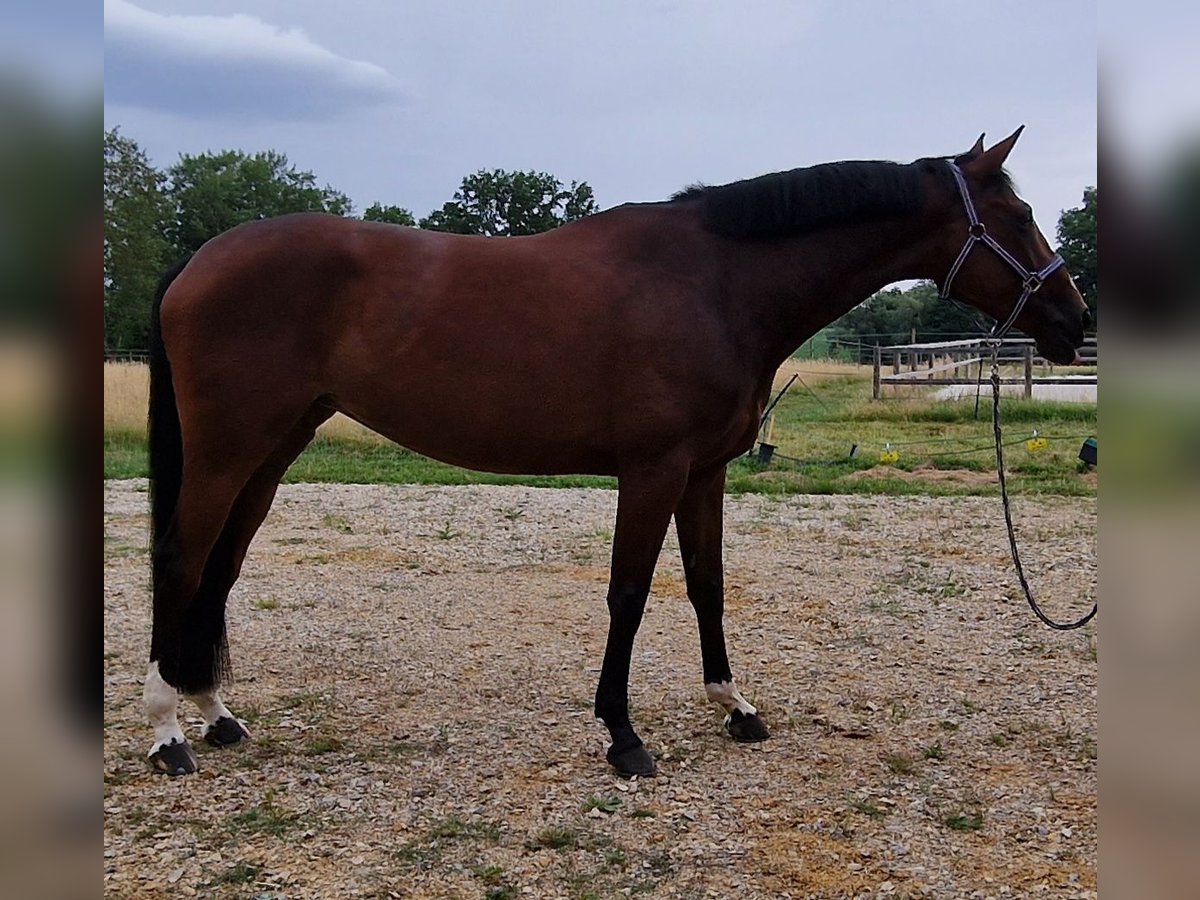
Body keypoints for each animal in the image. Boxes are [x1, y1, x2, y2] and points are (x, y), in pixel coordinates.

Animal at [140, 128, 1089, 782]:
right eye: (1018, 217)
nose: (1074, 321)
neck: (716, 283)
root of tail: (200, 257)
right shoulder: (653, 469)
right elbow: (629, 595)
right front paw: (624, 737)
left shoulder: (705, 471)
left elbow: (707, 584)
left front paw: (734, 706)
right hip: (228, 450)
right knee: (183, 560)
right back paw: (167, 733)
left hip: (273, 450)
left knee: (223, 566)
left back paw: (216, 716)